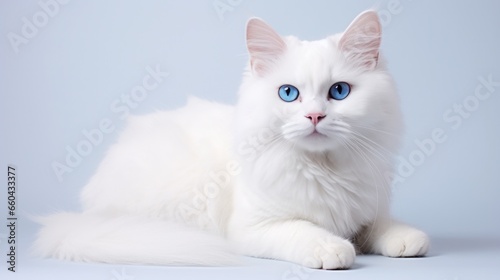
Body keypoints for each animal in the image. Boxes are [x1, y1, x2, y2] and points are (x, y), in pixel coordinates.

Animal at [36, 10, 430, 270]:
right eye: (289, 93)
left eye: (339, 91)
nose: (315, 116)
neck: (324, 169)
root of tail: (83, 215)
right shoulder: (254, 228)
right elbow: (303, 230)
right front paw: (332, 248)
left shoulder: (368, 208)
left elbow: (379, 226)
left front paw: (408, 240)